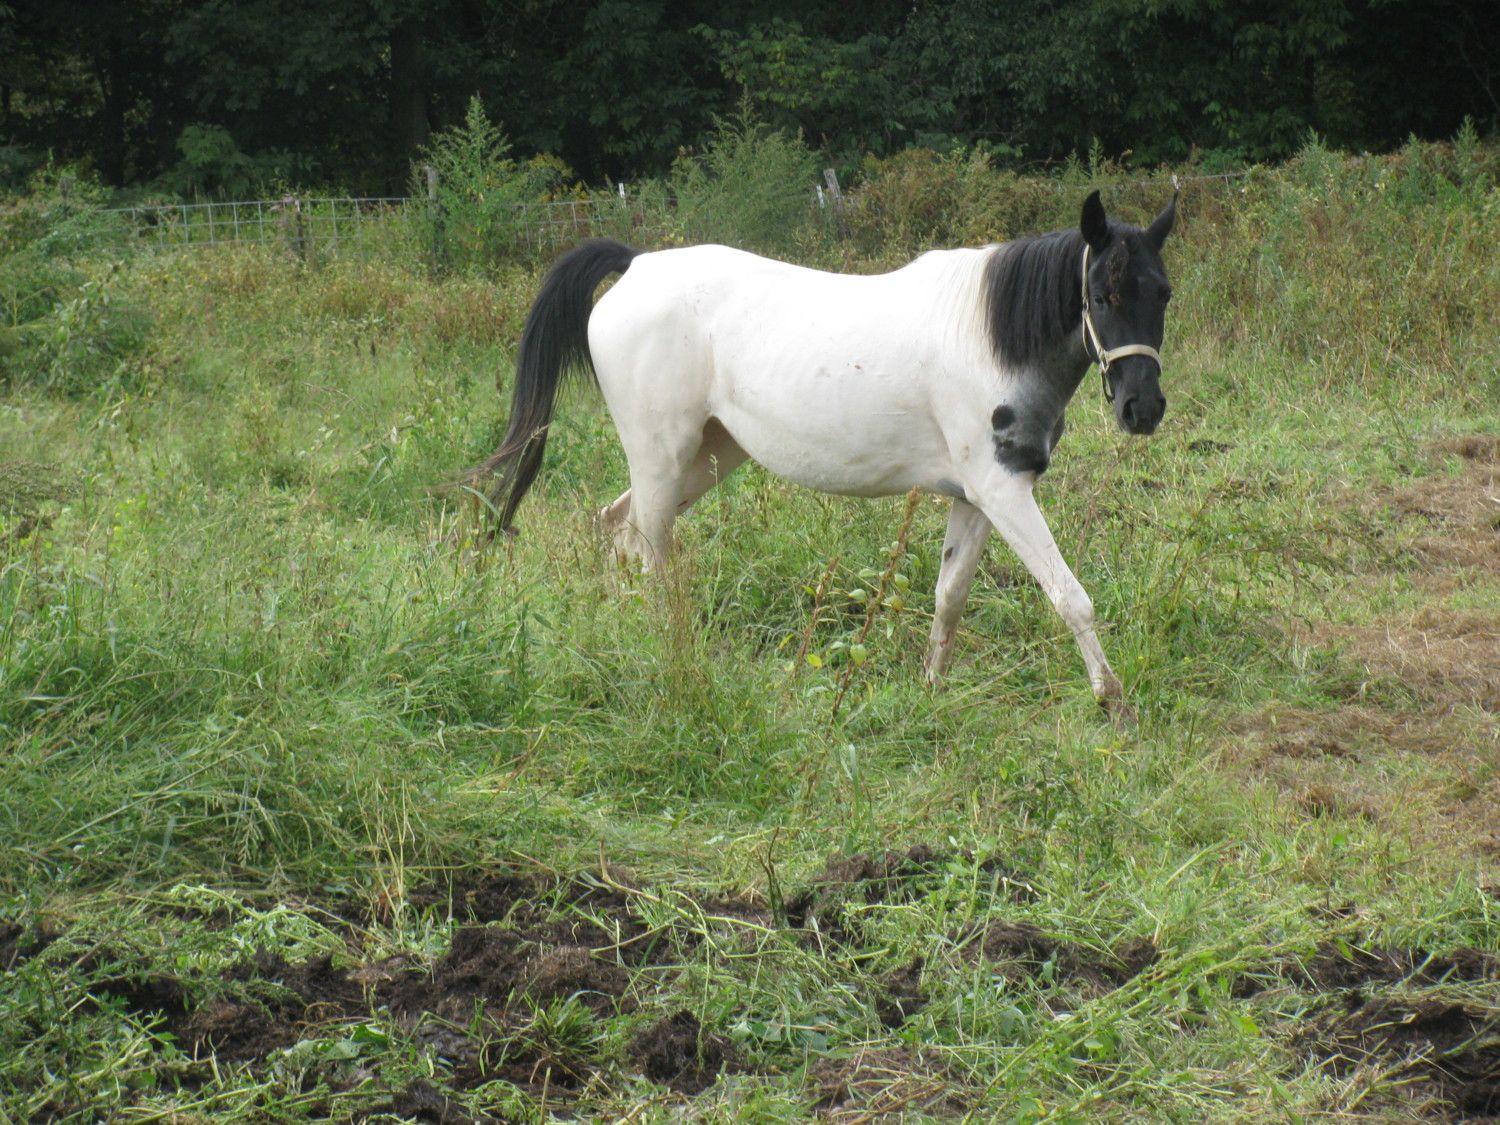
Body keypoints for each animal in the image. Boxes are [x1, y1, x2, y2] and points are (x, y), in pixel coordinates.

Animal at [464, 189, 1178, 707]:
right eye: (1100, 294)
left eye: (1163, 293)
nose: (1142, 409)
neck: (990, 337)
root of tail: (636, 264)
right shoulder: (1003, 490)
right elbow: (1070, 596)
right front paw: (1112, 700)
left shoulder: (977, 498)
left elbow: (949, 596)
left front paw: (932, 689)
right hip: (661, 455)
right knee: (650, 548)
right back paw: (670, 656)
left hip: (708, 456)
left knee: (617, 528)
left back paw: (628, 637)